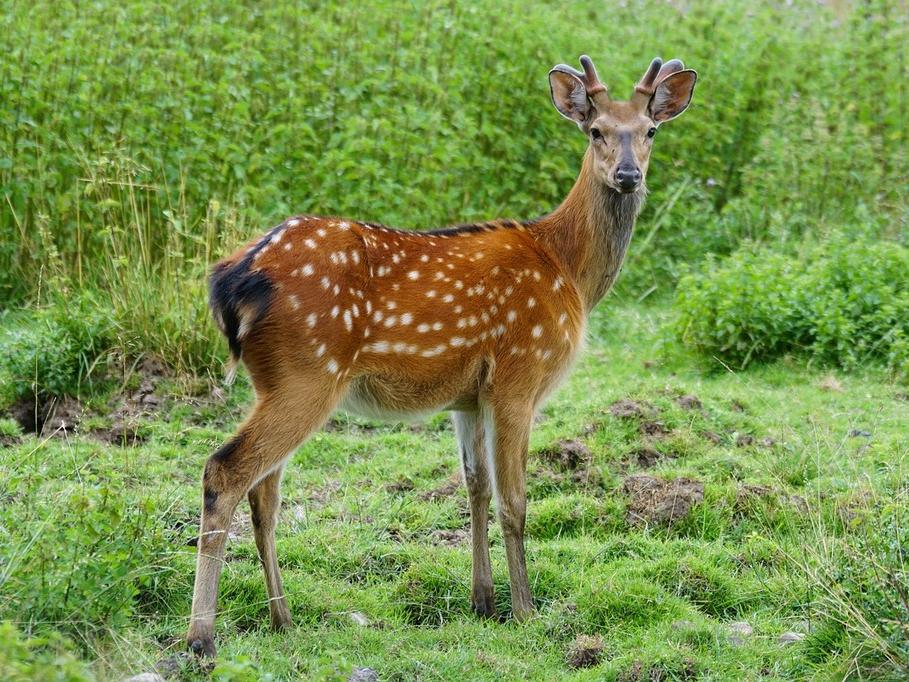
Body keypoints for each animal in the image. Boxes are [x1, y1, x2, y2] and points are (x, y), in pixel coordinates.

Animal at [186, 55, 697, 657]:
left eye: (650, 130)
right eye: (595, 130)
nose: (628, 175)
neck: (567, 269)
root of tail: (230, 278)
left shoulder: (468, 397)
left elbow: (475, 487)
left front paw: (484, 602)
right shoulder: (519, 375)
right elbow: (515, 500)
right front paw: (526, 611)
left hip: (274, 380)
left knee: (264, 490)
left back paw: (282, 618)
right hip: (307, 372)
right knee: (226, 470)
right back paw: (201, 637)